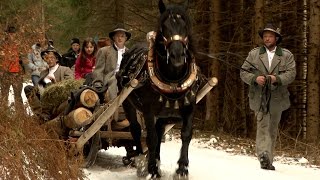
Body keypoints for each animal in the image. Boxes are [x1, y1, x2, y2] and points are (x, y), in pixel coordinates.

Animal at [117, 0, 201, 177]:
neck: (173, 80)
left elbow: (186, 134)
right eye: (163, 27)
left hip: (163, 115)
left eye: (185, 26)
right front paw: (152, 169)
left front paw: (182, 168)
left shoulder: (190, 107)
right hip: (127, 102)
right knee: (136, 129)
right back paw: (140, 159)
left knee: (159, 131)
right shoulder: (149, 111)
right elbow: (151, 138)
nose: (177, 55)